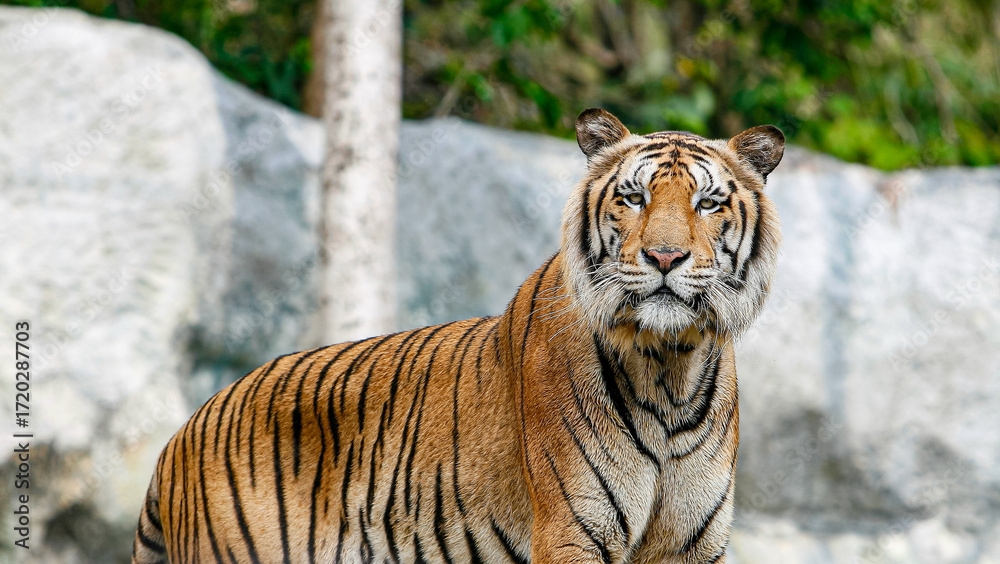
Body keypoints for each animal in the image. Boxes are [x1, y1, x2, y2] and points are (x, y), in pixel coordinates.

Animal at [132, 108, 783, 564]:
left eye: (708, 203)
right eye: (633, 197)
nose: (665, 257)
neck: (668, 363)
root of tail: (180, 435)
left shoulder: (691, 543)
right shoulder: (572, 531)